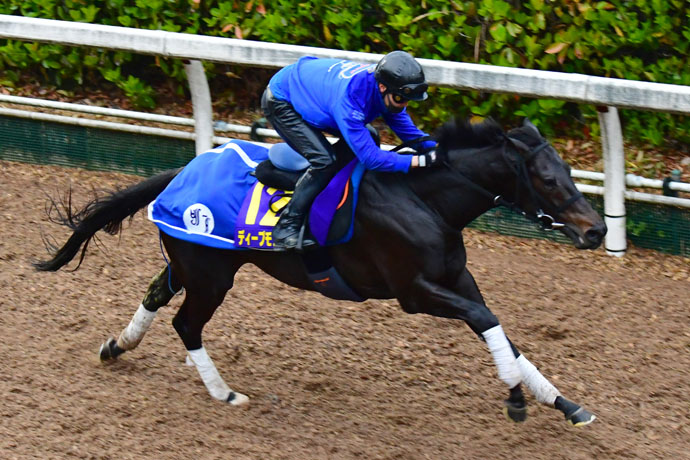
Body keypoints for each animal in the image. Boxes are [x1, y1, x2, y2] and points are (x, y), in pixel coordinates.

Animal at [35, 117, 606, 426]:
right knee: (186, 324)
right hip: (212, 275)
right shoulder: (414, 292)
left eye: (569, 172)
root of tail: (182, 171)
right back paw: (224, 393)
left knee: (157, 294)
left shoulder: (457, 281)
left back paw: (116, 346)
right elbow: (488, 322)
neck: (423, 198)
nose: (597, 230)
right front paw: (516, 401)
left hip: (194, 260)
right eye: (549, 180)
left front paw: (565, 403)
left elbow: (499, 330)